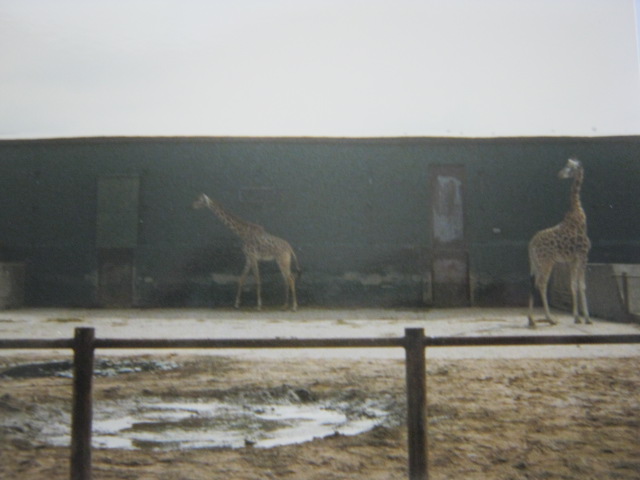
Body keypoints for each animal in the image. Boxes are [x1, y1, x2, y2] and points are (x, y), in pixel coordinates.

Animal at [527, 157, 591, 327]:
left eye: (570, 167)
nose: (560, 174)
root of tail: (531, 245)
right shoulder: (583, 255)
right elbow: (582, 285)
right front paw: (586, 318)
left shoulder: (572, 260)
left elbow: (573, 285)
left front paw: (577, 317)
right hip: (547, 262)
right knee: (542, 284)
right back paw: (549, 318)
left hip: (536, 263)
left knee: (533, 284)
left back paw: (531, 320)